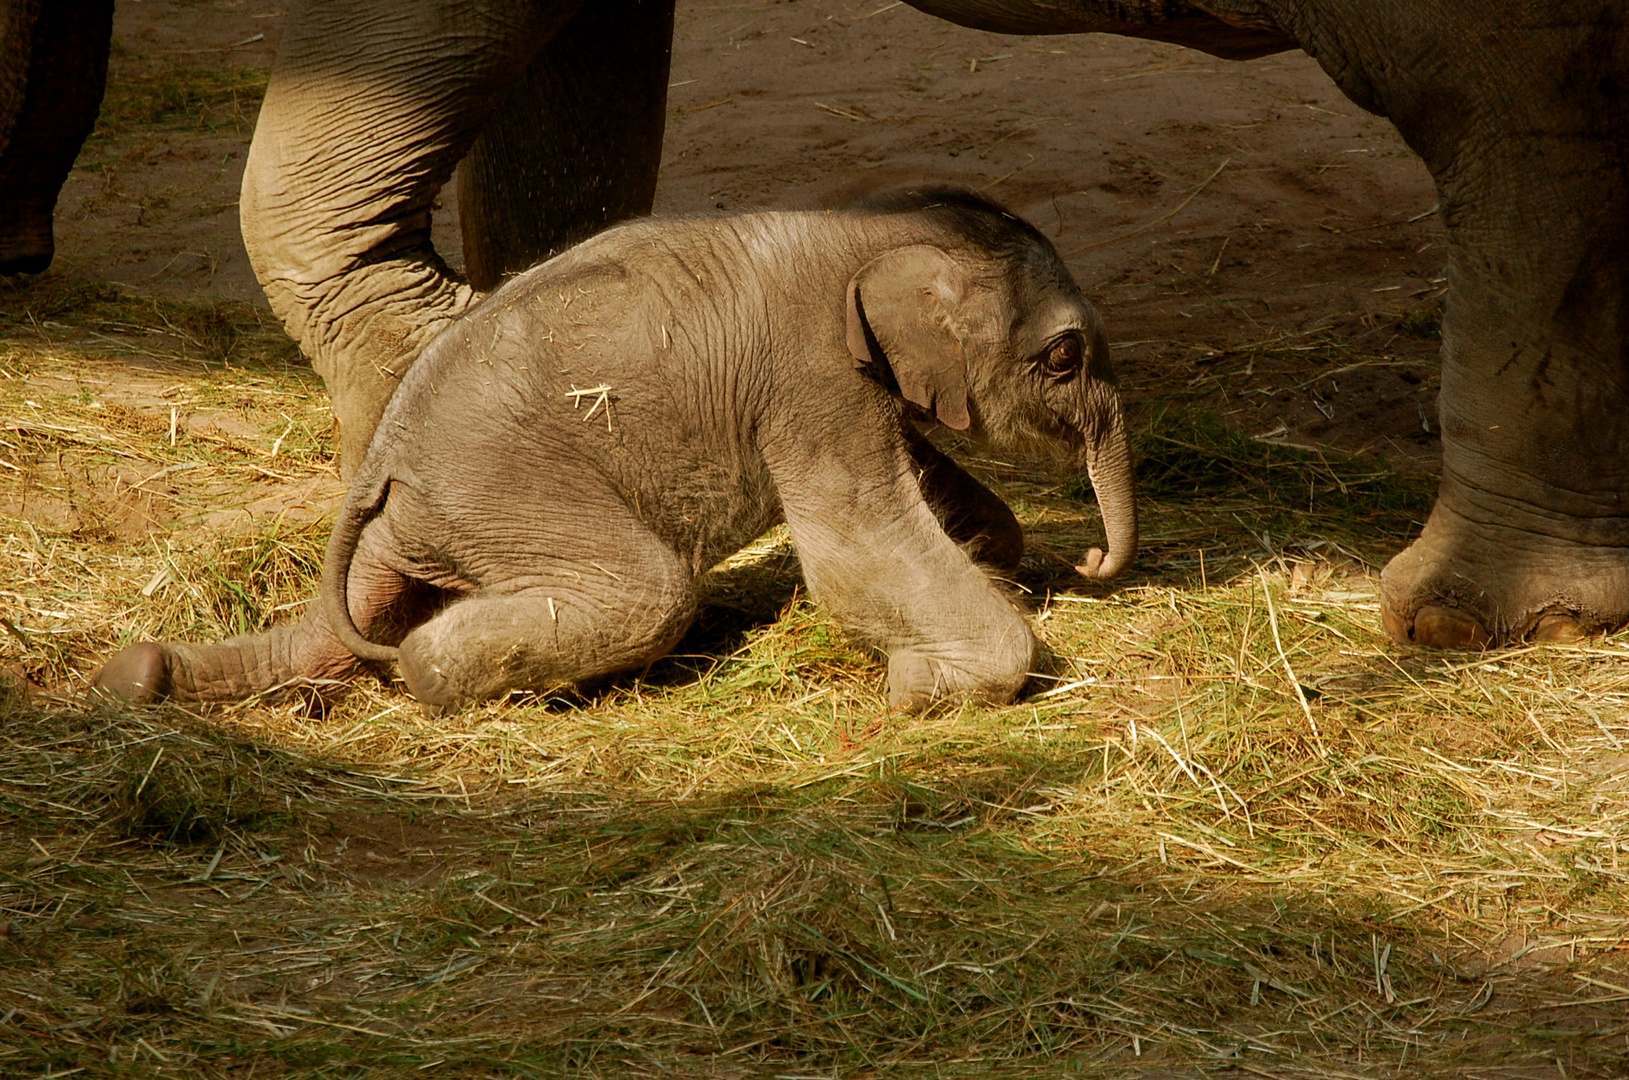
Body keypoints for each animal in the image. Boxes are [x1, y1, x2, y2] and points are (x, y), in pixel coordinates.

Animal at [95, 192, 1140, 716]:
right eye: (1064, 358)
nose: (1093, 561)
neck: (876, 223)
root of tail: (378, 467)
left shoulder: (846, 384)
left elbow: (915, 484)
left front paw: (991, 567)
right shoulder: (807, 376)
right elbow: (855, 546)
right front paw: (923, 692)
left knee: (333, 628)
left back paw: (138, 679)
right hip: (511, 496)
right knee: (647, 595)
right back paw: (437, 680)